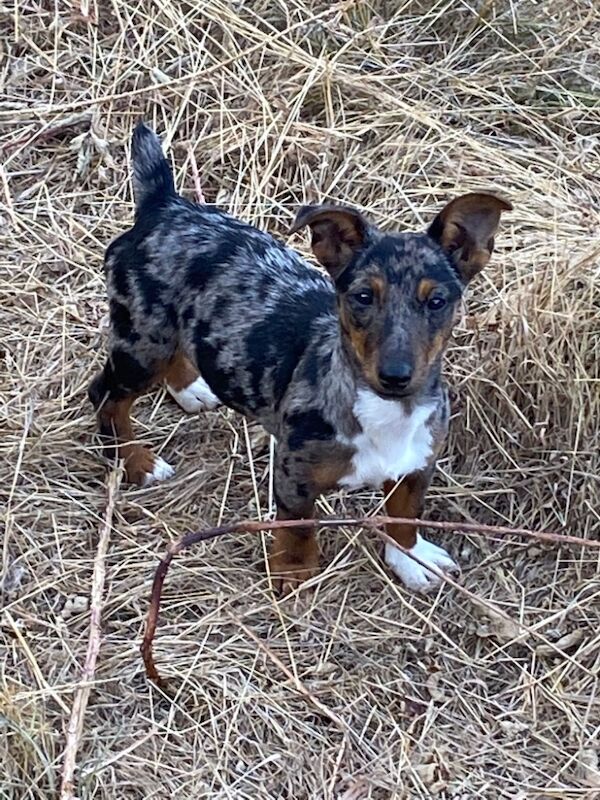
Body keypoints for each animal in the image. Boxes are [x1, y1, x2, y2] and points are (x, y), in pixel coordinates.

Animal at [89, 120, 510, 592]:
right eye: (362, 297)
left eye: (437, 301)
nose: (396, 375)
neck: (386, 413)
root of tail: (165, 206)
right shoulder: (294, 473)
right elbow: (299, 525)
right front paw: (294, 571)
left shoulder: (418, 463)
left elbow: (404, 515)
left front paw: (410, 558)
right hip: (141, 342)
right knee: (107, 396)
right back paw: (136, 462)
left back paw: (190, 388)